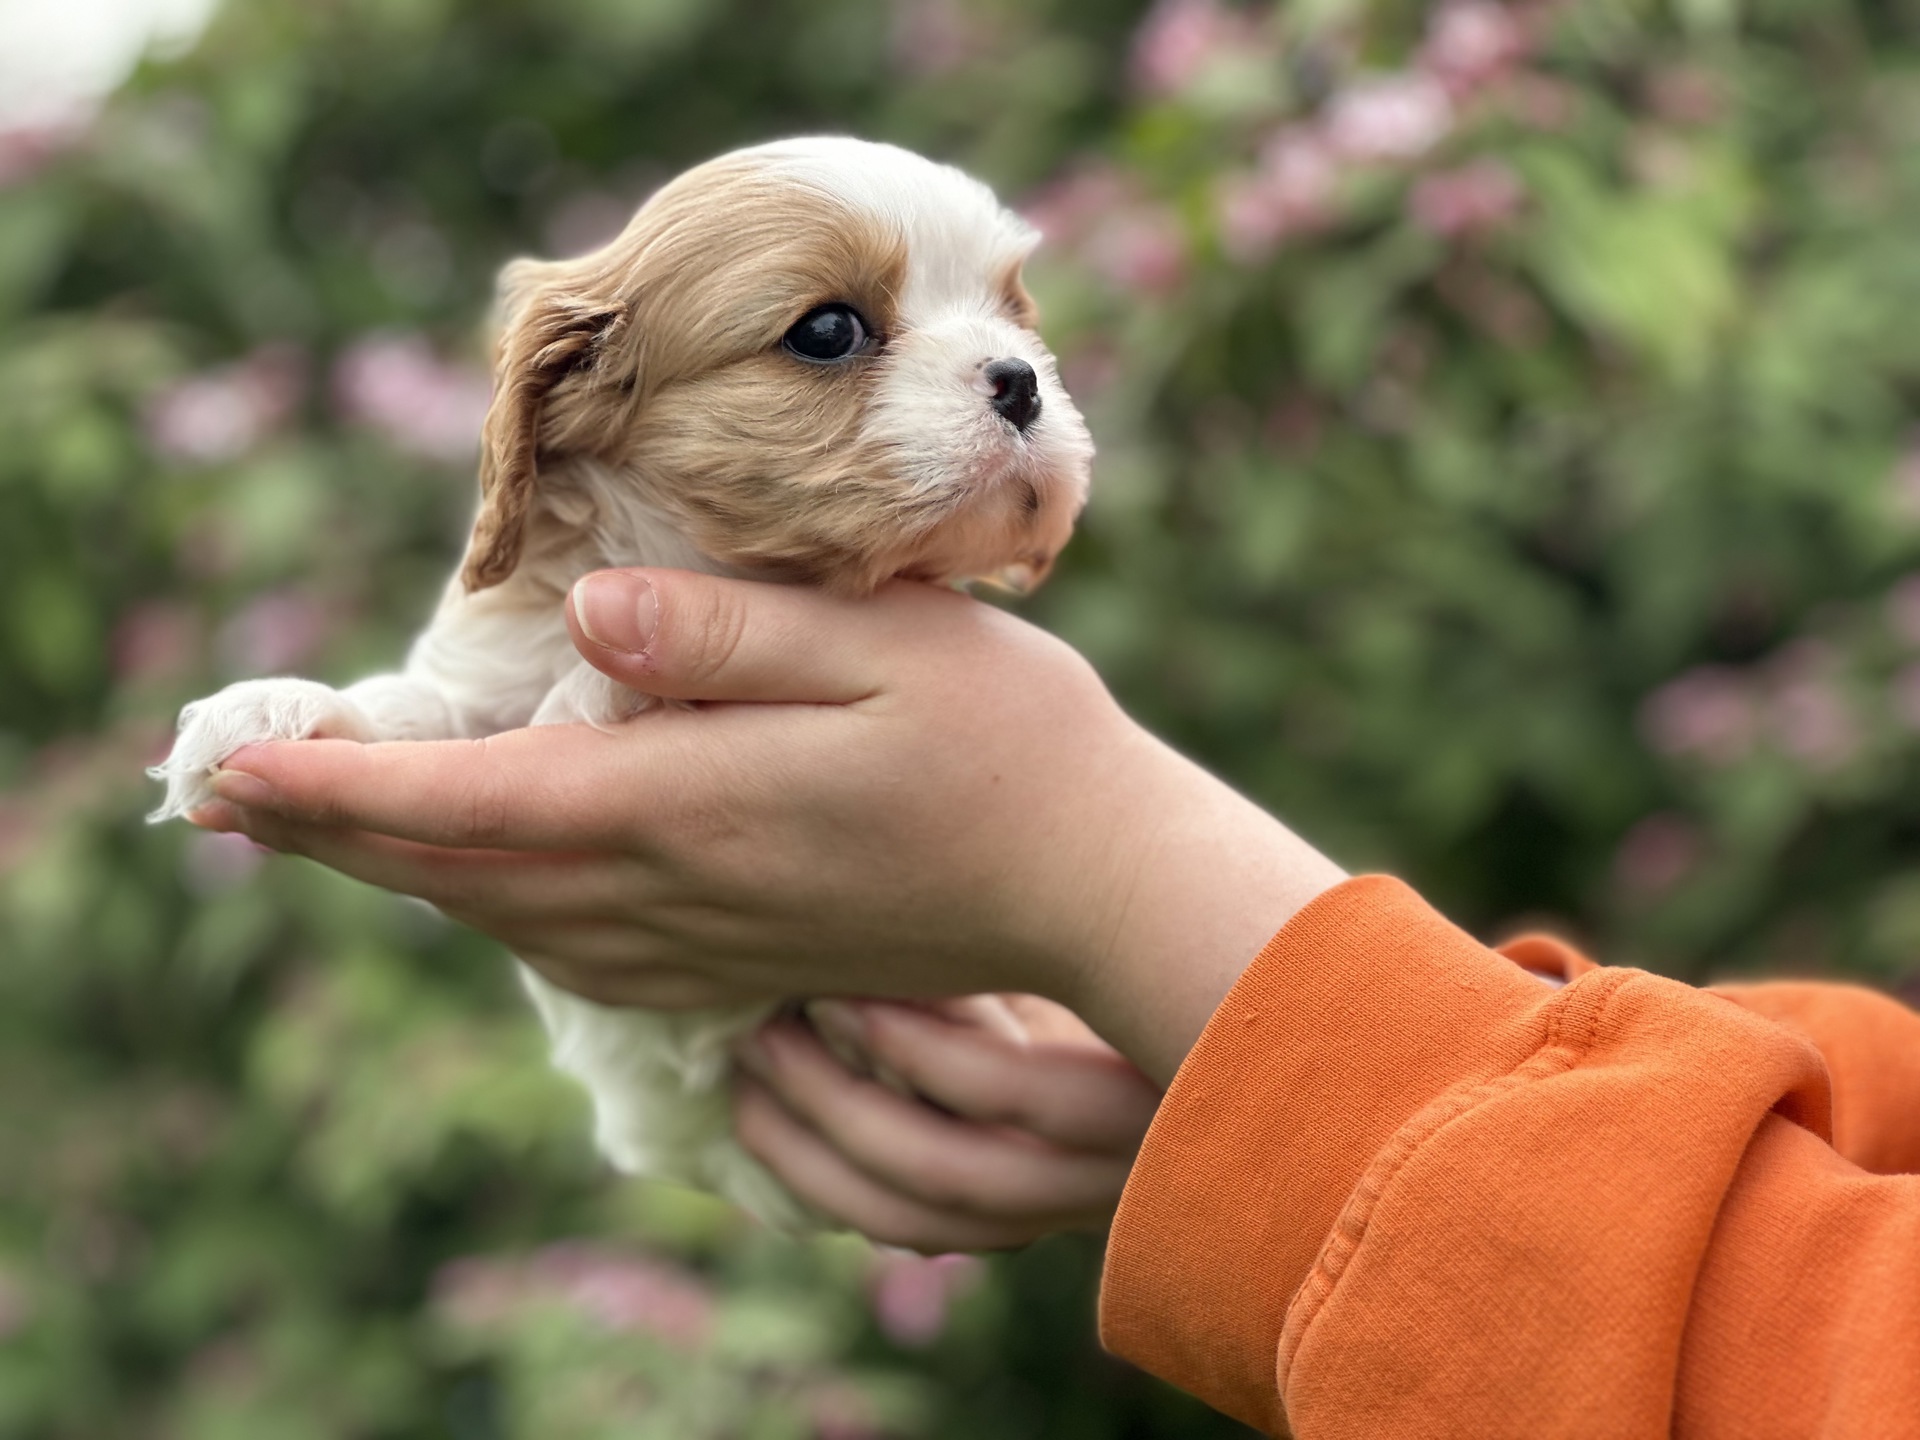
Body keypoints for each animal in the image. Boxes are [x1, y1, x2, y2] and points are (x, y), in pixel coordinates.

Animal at [149, 138, 1098, 1228]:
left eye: (1013, 312)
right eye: (829, 331)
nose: (1022, 379)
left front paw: (595, 687)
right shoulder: (487, 677)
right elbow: (421, 708)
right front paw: (269, 706)